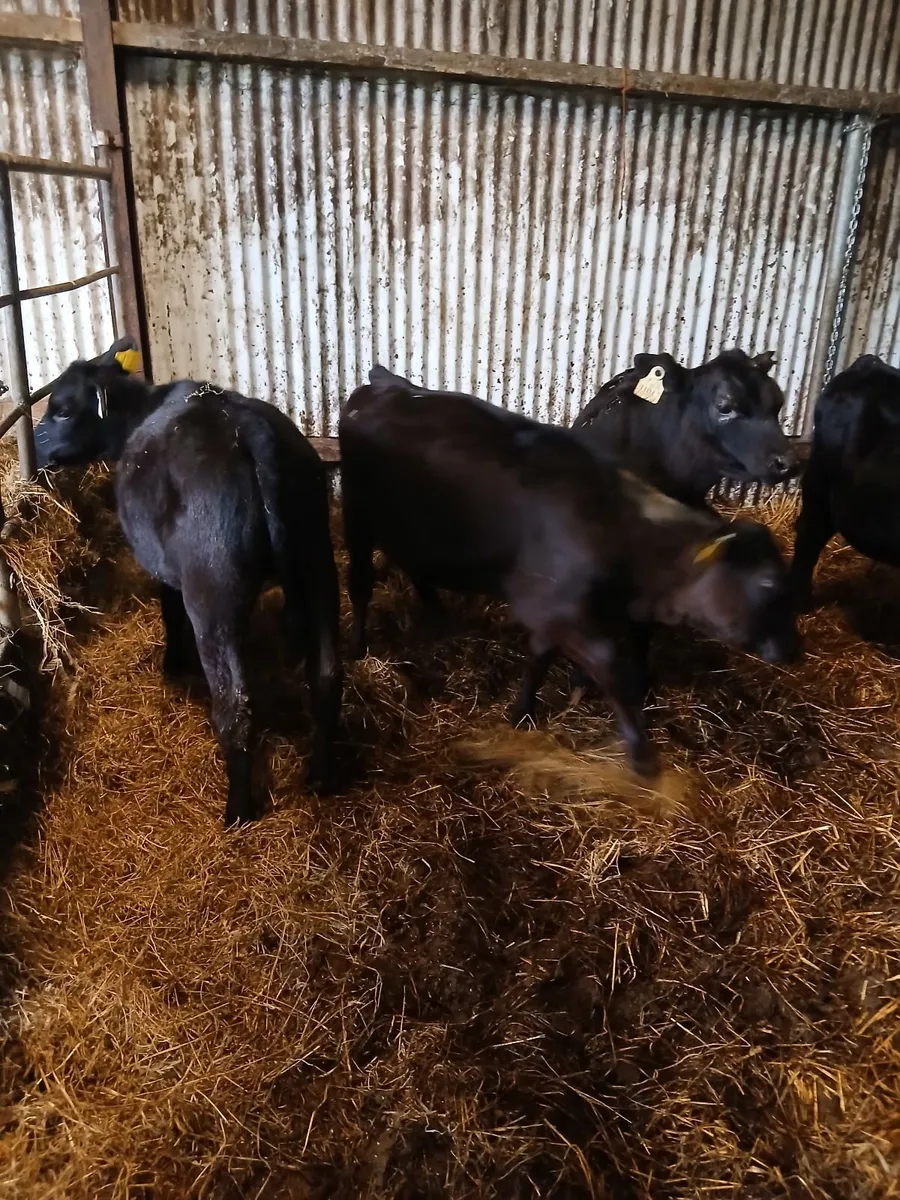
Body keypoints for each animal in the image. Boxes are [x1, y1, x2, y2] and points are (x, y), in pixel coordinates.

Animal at [33, 340, 342, 827]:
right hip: (317, 561)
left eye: (62, 409)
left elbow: (168, 610)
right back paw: (321, 776)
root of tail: (250, 433)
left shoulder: (166, 573)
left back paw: (237, 811)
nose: (35, 450)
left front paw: (173, 663)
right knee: (327, 675)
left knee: (235, 704)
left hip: (212, 592)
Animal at [339, 368, 800, 778]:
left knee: (415, 568)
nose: (794, 649)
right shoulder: (558, 608)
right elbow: (611, 666)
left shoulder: (555, 611)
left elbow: (541, 655)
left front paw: (521, 710)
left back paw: (437, 618)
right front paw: (642, 755)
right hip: (358, 518)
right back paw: (357, 648)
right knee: (361, 583)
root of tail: (380, 385)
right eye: (768, 583)